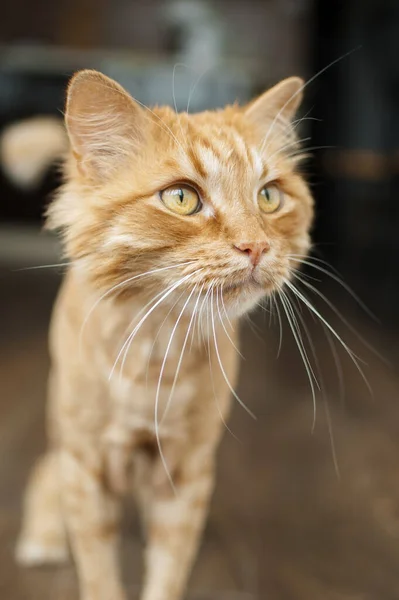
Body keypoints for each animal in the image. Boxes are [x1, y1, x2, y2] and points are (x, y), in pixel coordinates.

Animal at [15, 71, 314, 600]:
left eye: (269, 196)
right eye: (181, 198)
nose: (256, 246)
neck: (156, 350)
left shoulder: (186, 471)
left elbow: (169, 568)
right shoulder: (88, 468)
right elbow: (98, 570)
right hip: (67, 434)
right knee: (45, 470)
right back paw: (43, 537)